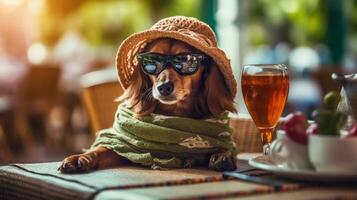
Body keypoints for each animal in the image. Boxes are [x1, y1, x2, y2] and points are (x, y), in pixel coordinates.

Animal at [58, 38, 236, 173]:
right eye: (152, 61)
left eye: (185, 60)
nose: (164, 87)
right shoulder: (126, 148)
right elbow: (103, 149)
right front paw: (80, 157)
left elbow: (226, 146)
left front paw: (224, 155)